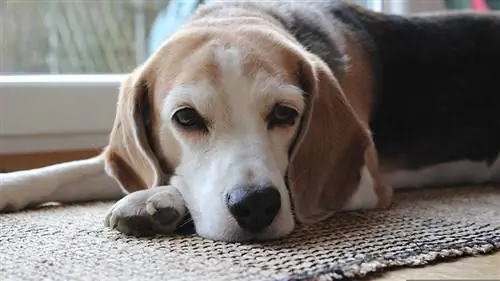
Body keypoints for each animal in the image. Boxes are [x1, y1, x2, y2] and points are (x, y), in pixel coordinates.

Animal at [0, 0, 500, 241]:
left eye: (284, 113)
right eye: (185, 117)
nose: (255, 206)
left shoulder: (366, 183)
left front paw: (155, 200)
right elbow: (64, 170)